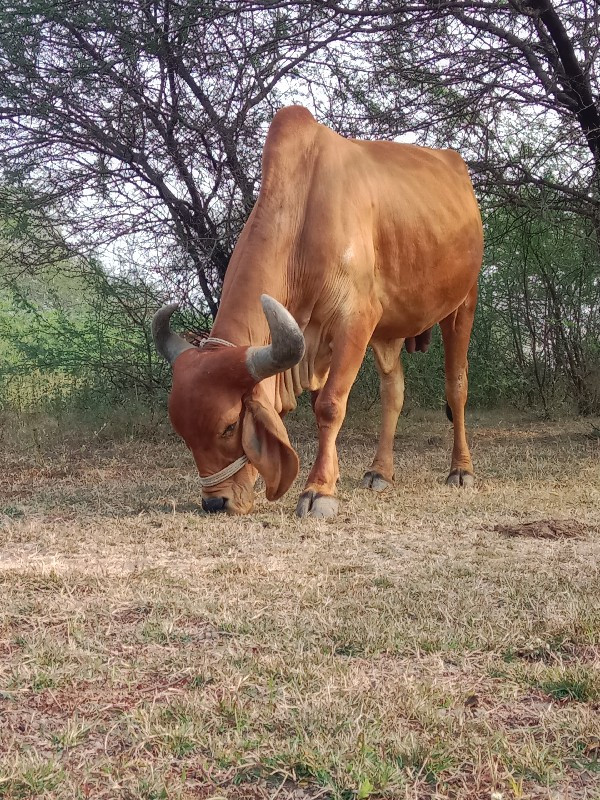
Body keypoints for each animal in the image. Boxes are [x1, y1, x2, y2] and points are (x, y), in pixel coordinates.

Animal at [154, 104, 482, 520]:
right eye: (183, 433)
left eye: (229, 427)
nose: (215, 502)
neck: (303, 220)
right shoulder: (315, 342)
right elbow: (321, 405)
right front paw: (333, 476)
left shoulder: (355, 322)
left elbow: (329, 405)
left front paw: (318, 490)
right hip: (388, 331)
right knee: (393, 392)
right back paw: (380, 471)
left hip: (462, 304)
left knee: (457, 387)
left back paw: (461, 470)